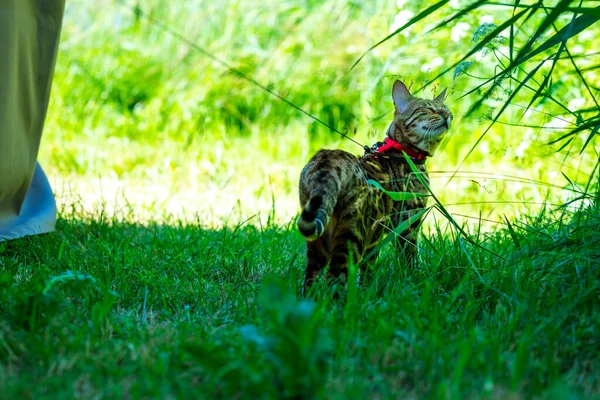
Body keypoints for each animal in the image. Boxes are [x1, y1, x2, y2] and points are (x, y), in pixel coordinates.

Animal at [296, 80, 450, 294]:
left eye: (446, 109)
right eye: (427, 109)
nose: (446, 115)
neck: (404, 153)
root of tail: (327, 161)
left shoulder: (375, 236)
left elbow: (368, 267)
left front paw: (366, 289)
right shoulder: (407, 223)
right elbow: (409, 258)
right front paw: (414, 280)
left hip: (318, 240)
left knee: (310, 282)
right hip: (351, 237)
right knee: (334, 281)